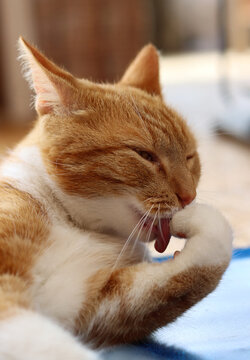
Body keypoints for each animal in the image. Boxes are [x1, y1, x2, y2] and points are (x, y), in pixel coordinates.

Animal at [0, 39, 232, 360]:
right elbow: (45, 343)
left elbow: (201, 263)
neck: (70, 222)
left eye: (189, 157)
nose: (189, 197)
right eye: (144, 155)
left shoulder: (82, 302)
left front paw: (198, 220)